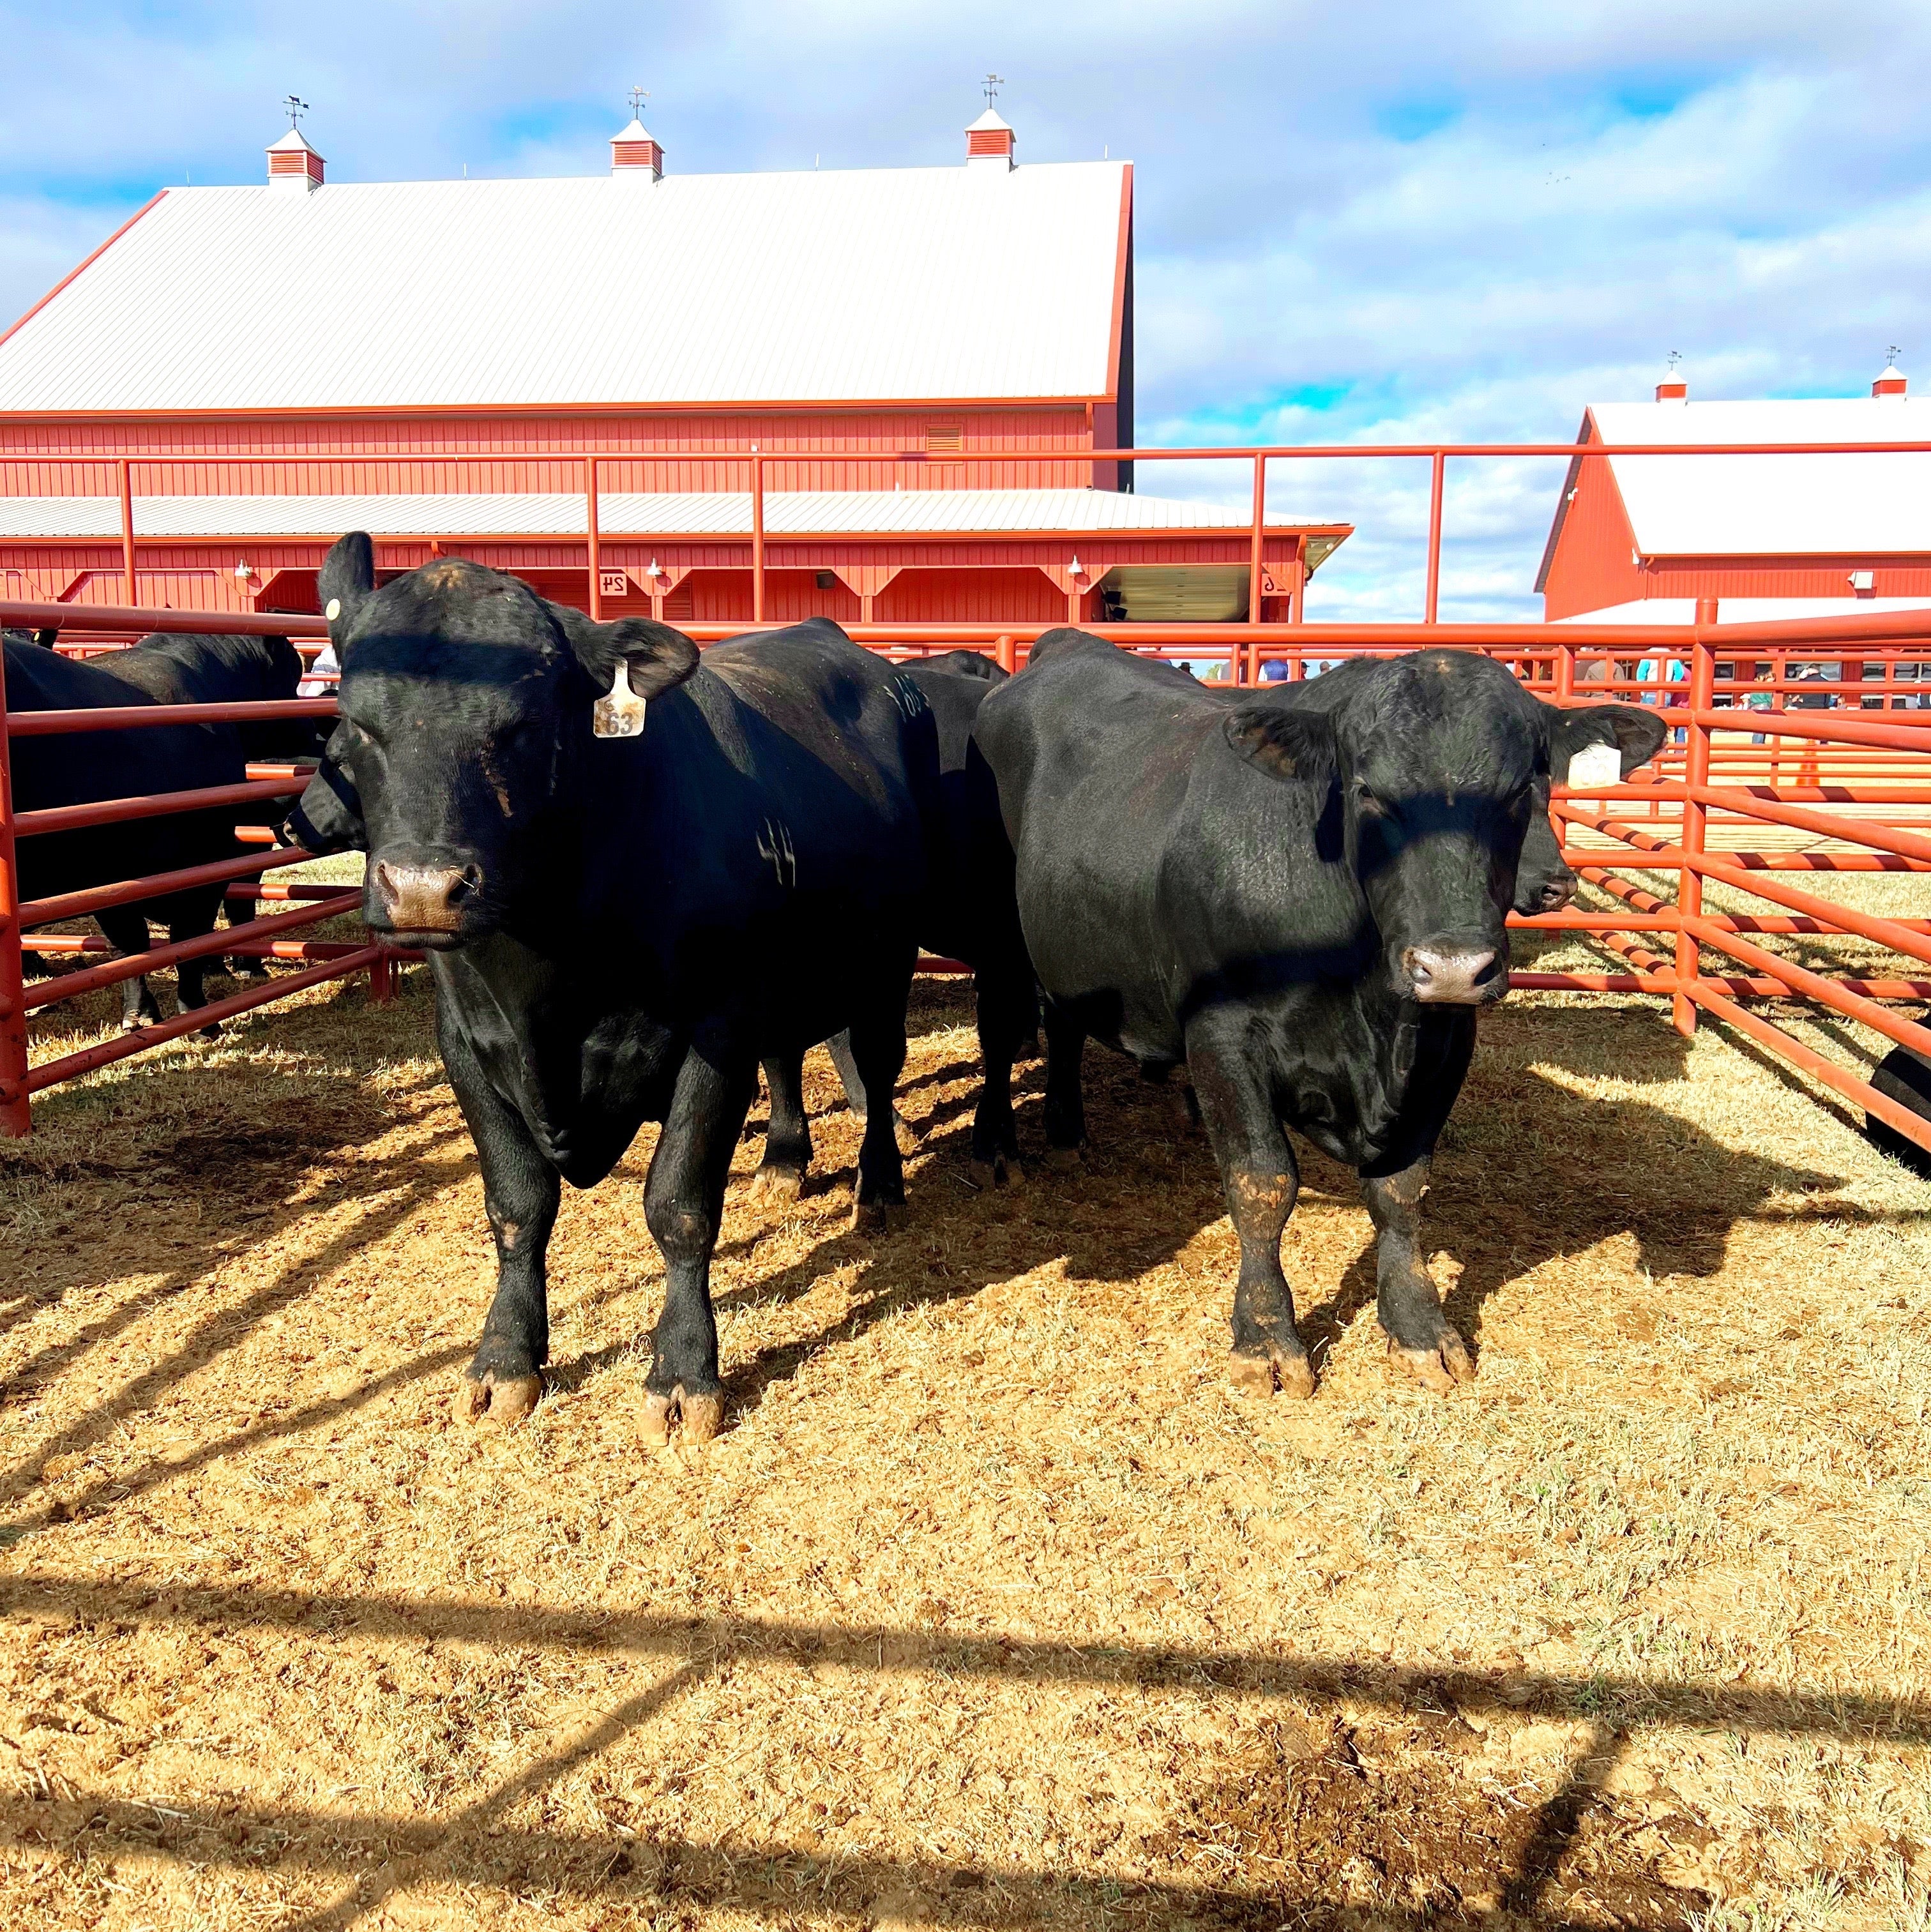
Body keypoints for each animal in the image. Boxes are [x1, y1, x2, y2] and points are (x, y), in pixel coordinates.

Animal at [290, 537, 939, 1445]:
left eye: (524, 727)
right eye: (355, 729)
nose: (423, 888)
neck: (551, 974)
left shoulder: (716, 1033)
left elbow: (679, 1205)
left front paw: (684, 1371)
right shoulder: (466, 1045)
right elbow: (517, 1205)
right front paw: (505, 1360)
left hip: (888, 961)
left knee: (877, 1071)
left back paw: (877, 1187)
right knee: (788, 1058)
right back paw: (783, 1158)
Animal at [974, 633, 1670, 1406]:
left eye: (1523, 791)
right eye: (1368, 791)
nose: (1453, 965)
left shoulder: (1446, 1040)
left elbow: (1402, 1190)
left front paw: (1418, 1326)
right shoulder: (1222, 1034)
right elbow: (1262, 1183)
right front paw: (1266, 1339)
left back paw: (1069, 1127)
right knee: (1005, 1028)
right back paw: (1006, 1141)